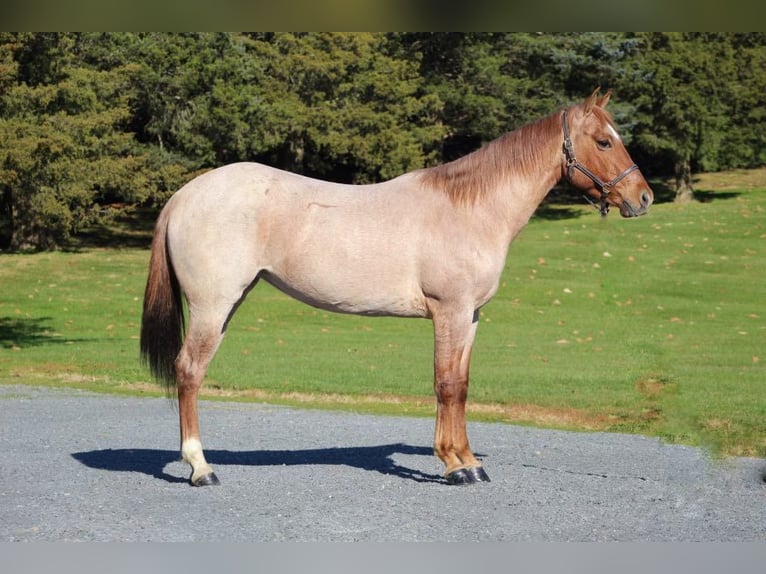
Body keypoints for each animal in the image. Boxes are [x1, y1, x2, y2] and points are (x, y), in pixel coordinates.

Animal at [140, 88, 656, 488]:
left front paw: (469, 461)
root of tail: (186, 194)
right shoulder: (449, 312)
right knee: (189, 371)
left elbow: (462, 385)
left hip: (228, 305)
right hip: (212, 307)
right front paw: (455, 466)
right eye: (604, 141)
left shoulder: (470, 316)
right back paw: (201, 469)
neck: (469, 208)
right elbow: (446, 384)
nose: (643, 198)